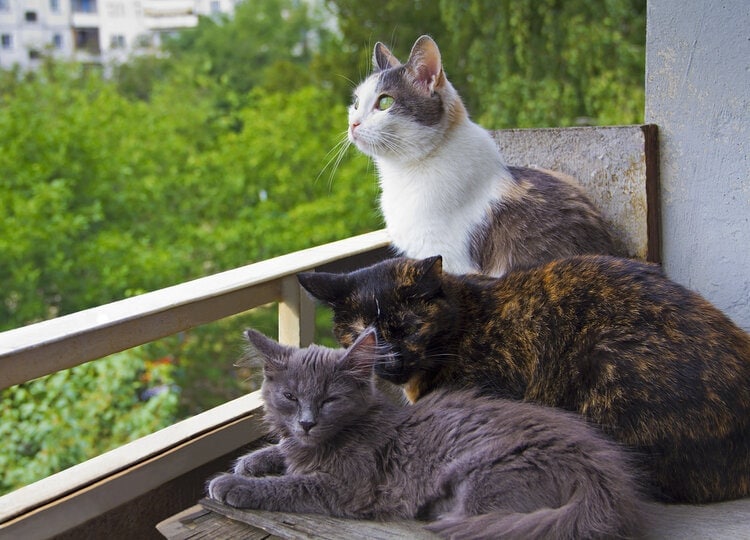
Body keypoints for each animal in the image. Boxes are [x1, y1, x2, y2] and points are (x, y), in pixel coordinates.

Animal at [209, 326, 644, 536]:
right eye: (289, 396)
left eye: (330, 399)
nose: (307, 422)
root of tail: (604, 480)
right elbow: (283, 452)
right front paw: (253, 460)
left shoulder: (348, 486)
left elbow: (290, 485)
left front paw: (234, 484)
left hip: (485, 473)